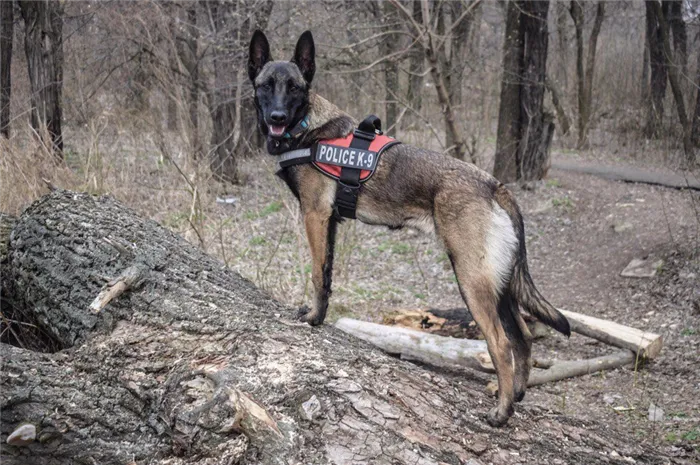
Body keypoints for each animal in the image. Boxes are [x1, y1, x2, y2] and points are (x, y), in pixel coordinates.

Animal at [249, 30, 572, 426]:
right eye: (267, 85)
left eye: (293, 87)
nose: (277, 116)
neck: (308, 128)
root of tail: (494, 185)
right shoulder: (330, 224)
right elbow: (326, 275)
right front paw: (320, 317)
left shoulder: (314, 215)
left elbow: (314, 273)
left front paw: (311, 319)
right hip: (502, 284)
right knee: (523, 336)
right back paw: (518, 395)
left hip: (472, 280)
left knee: (500, 343)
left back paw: (502, 411)